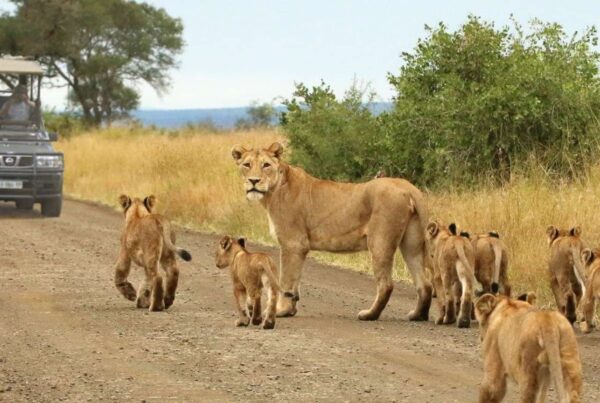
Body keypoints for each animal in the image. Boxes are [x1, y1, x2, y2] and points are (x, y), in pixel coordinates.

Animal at [231, 142, 433, 321]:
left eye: (266, 165)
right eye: (246, 165)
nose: (254, 181)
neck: (273, 190)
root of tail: (409, 188)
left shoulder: (293, 243)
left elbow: (286, 279)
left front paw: (280, 311)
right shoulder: (298, 247)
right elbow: (295, 281)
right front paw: (291, 309)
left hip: (380, 242)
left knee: (386, 285)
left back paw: (369, 315)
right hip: (412, 244)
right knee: (425, 284)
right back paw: (417, 316)